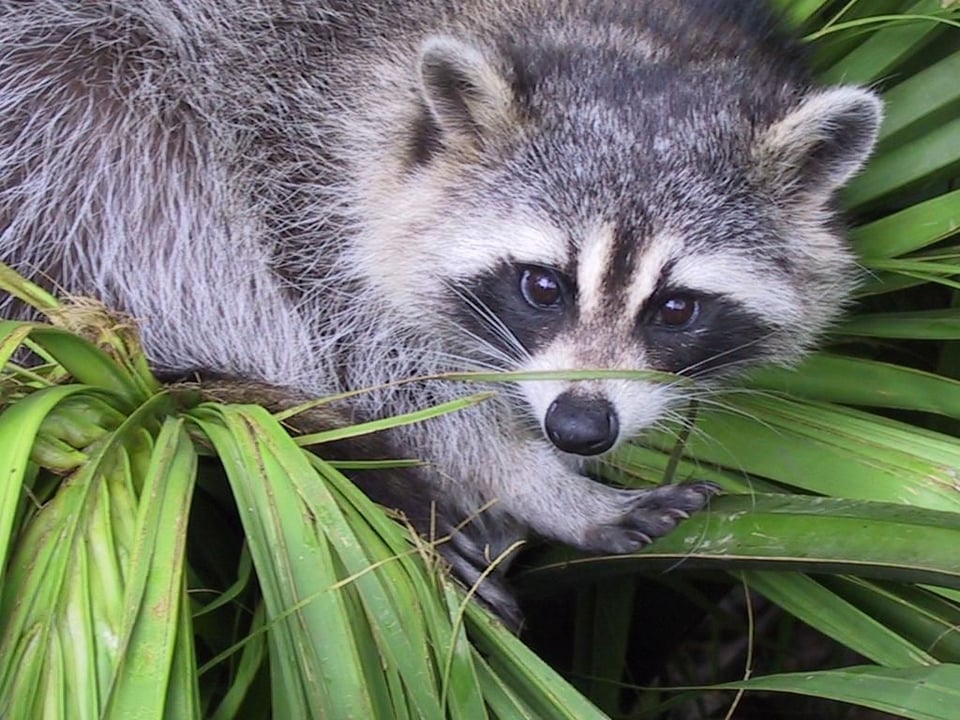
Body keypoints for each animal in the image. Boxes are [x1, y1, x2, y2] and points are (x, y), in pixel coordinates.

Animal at [0, 1, 881, 625]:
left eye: (675, 308)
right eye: (542, 286)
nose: (578, 428)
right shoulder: (291, 149)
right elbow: (376, 363)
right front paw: (532, 480)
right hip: (68, 103)